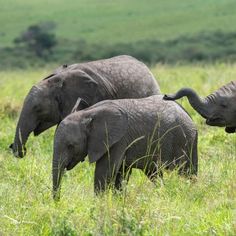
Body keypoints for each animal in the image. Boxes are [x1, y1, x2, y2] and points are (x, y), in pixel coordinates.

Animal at [52, 94, 198, 199]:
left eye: (71, 146)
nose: (58, 202)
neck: (87, 113)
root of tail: (187, 113)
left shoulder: (118, 139)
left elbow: (105, 170)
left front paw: (99, 203)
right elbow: (120, 173)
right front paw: (118, 200)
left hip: (185, 140)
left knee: (187, 171)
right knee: (154, 173)